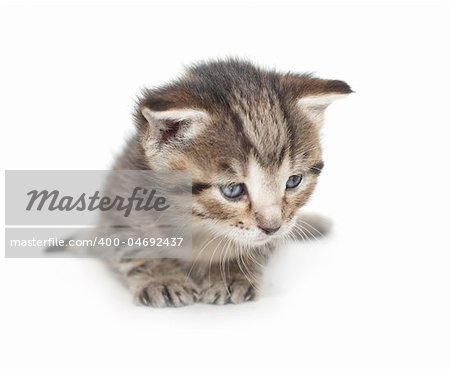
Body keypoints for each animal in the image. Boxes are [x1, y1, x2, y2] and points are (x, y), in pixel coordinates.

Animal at [107, 58, 350, 308]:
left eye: (293, 181)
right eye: (232, 190)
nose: (273, 227)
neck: (199, 225)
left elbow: (256, 247)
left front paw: (231, 274)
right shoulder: (120, 203)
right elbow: (134, 246)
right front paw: (162, 277)